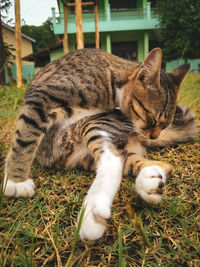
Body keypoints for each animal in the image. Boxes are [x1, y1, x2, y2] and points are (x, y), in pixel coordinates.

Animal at [3, 47, 197, 243]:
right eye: (152, 118)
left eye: (165, 125)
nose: (154, 135)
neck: (112, 79)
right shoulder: (42, 96)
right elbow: (25, 139)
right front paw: (16, 181)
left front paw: (14, 180)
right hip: (89, 138)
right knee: (141, 163)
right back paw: (148, 183)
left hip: (93, 125)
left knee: (115, 161)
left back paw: (93, 215)